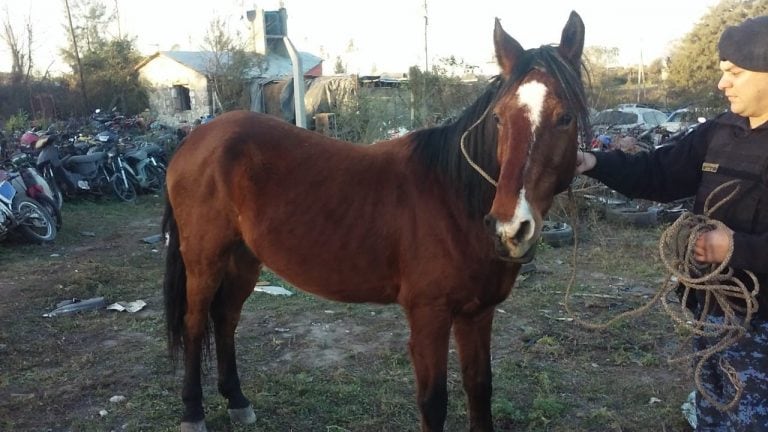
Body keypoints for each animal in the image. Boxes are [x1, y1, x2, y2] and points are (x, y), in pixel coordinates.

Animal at [164, 11, 588, 432]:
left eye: (565, 118)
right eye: (498, 118)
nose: (510, 228)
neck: (455, 199)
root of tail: (195, 139)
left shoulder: (478, 314)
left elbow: (480, 390)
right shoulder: (429, 316)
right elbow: (434, 402)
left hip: (243, 259)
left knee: (226, 318)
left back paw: (237, 400)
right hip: (204, 260)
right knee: (195, 322)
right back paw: (192, 412)